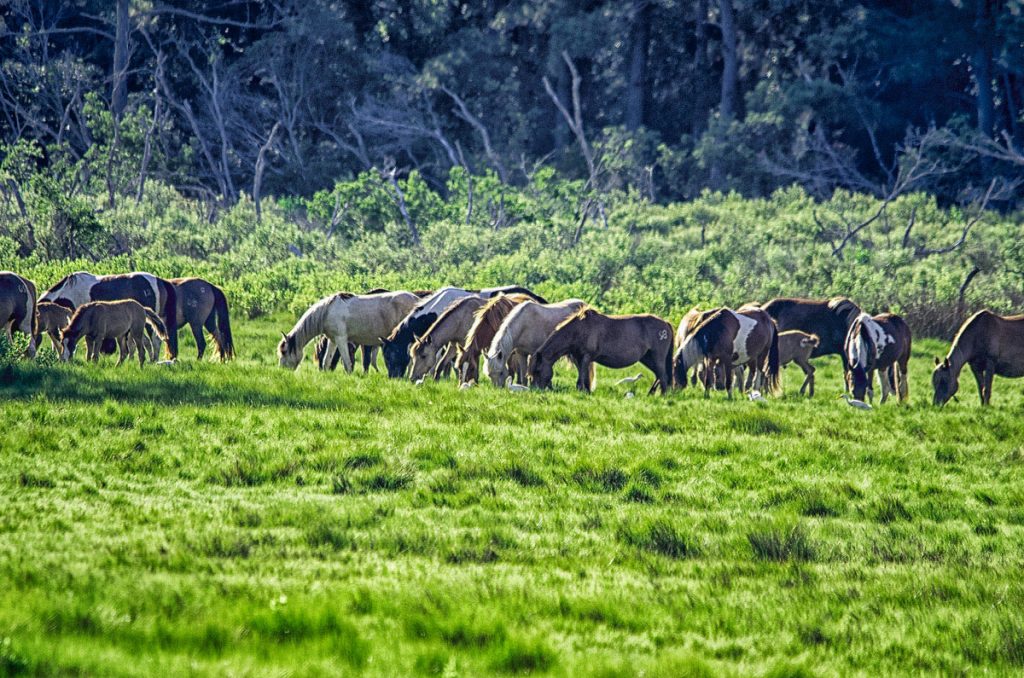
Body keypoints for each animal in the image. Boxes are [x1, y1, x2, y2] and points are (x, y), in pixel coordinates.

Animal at [278, 288, 417, 368]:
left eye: (284, 351)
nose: (282, 371)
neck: (327, 311)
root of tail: (416, 299)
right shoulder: (333, 340)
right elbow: (326, 362)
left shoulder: (341, 339)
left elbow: (347, 363)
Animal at [524, 307, 675, 395]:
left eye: (538, 370)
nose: (535, 390)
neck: (578, 330)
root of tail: (665, 323)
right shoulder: (579, 358)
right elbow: (584, 376)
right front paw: (586, 390)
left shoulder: (586, 357)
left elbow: (582, 376)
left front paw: (582, 391)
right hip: (647, 358)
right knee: (658, 375)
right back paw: (651, 393)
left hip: (657, 357)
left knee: (663, 376)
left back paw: (662, 396)